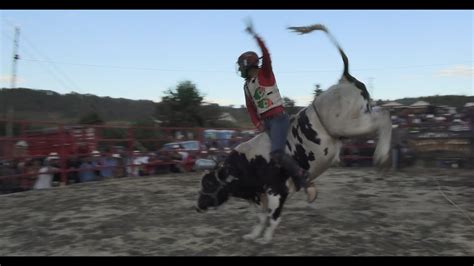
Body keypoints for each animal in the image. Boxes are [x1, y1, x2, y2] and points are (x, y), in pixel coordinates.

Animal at [194, 23, 390, 244]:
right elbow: (260, 217)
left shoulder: (276, 190)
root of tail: (344, 80)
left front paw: (265, 239)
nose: (198, 206)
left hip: (346, 124)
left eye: (209, 184)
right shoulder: (258, 193)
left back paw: (382, 157)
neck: (247, 164)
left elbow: (272, 216)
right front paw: (253, 234)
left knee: (384, 117)